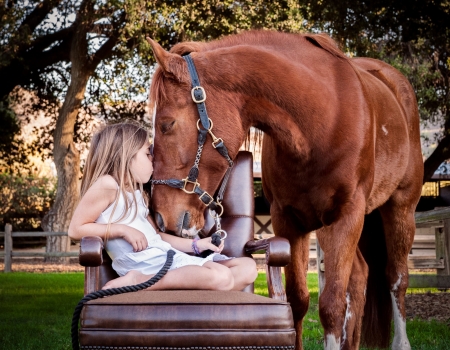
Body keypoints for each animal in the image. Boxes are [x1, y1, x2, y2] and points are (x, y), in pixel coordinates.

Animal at [147, 30, 422, 350]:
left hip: (399, 210)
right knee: (360, 276)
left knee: (396, 278)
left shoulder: (345, 217)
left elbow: (331, 306)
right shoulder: (288, 221)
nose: (160, 217)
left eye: (167, 125)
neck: (321, 120)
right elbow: (297, 301)